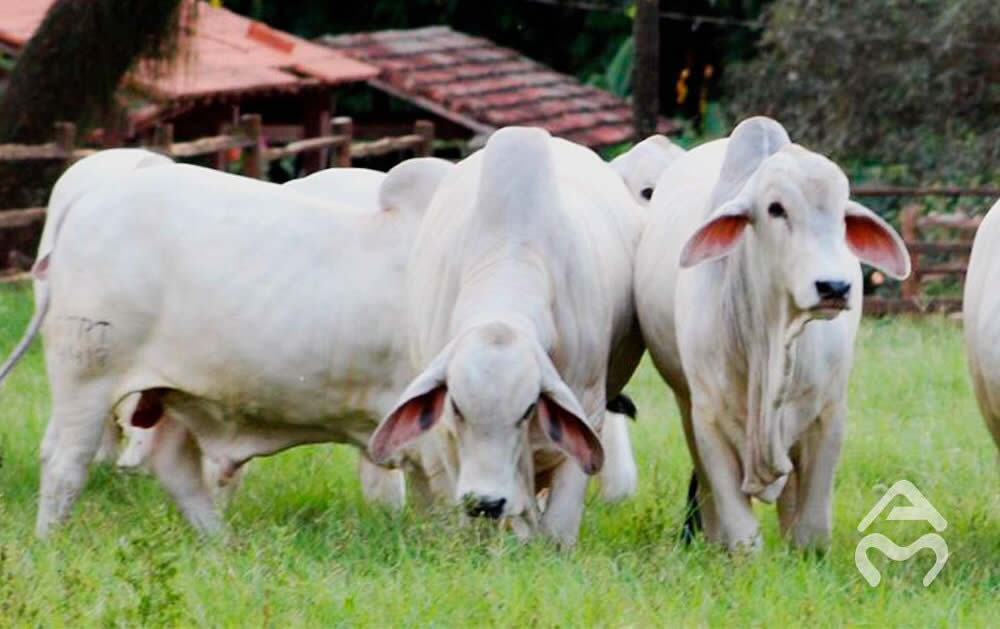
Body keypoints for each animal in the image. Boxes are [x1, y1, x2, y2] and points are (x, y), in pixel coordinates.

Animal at [0, 153, 454, 536]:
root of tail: (90, 199)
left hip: (161, 391)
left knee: (169, 464)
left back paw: (219, 542)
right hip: (87, 376)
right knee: (65, 463)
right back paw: (50, 542)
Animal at [636, 116, 912, 548]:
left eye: (842, 214)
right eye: (775, 208)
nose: (834, 287)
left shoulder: (828, 414)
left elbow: (811, 529)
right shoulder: (708, 419)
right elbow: (742, 533)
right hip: (684, 402)